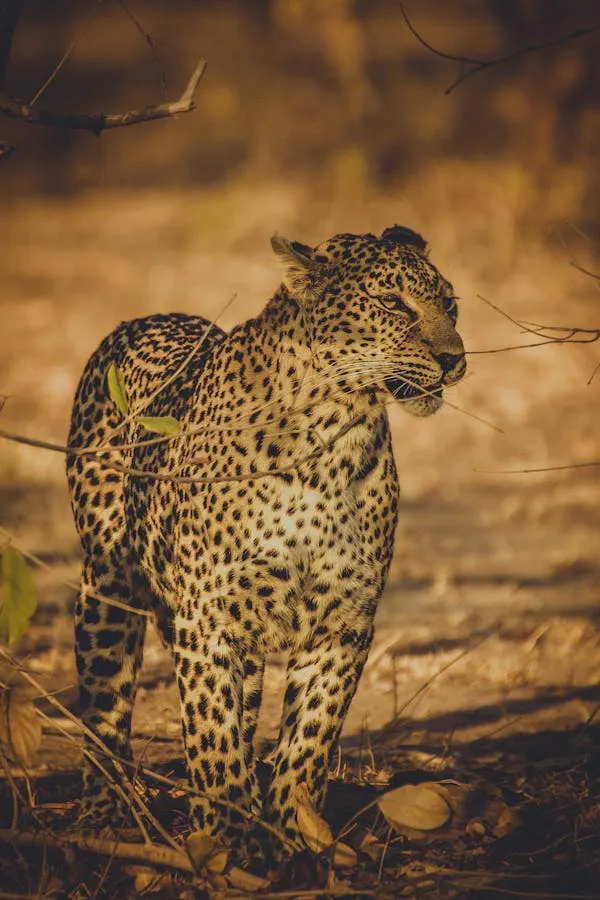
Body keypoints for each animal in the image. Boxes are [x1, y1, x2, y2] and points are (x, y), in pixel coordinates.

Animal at [66, 225, 466, 855]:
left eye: (451, 305)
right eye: (392, 303)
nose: (455, 360)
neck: (332, 439)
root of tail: (144, 319)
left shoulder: (345, 623)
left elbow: (310, 739)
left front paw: (296, 832)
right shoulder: (207, 619)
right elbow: (213, 738)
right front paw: (225, 843)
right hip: (107, 590)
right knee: (105, 704)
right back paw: (106, 809)